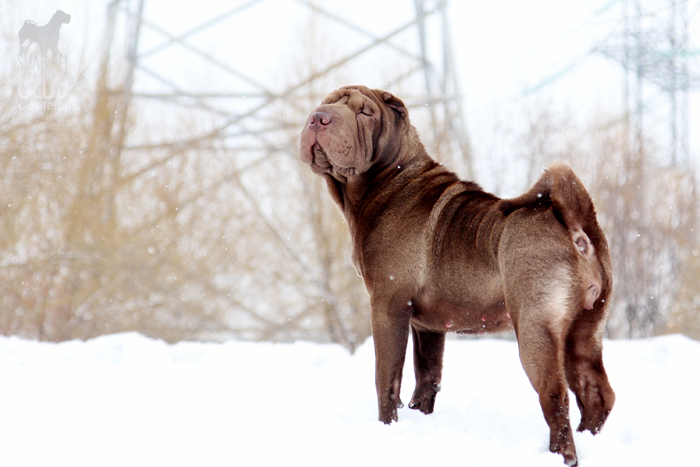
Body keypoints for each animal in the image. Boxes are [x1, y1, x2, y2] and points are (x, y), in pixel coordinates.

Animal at [299, 86, 615, 466]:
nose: (319, 117)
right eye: (326, 102)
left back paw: (558, 454)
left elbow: (386, 379)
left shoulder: (387, 306)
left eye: (365, 113)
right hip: (583, 331)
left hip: (536, 330)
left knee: (556, 397)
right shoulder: (427, 326)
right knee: (596, 394)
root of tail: (574, 222)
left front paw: (387, 428)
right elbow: (427, 377)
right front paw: (419, 417)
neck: (387, 179)